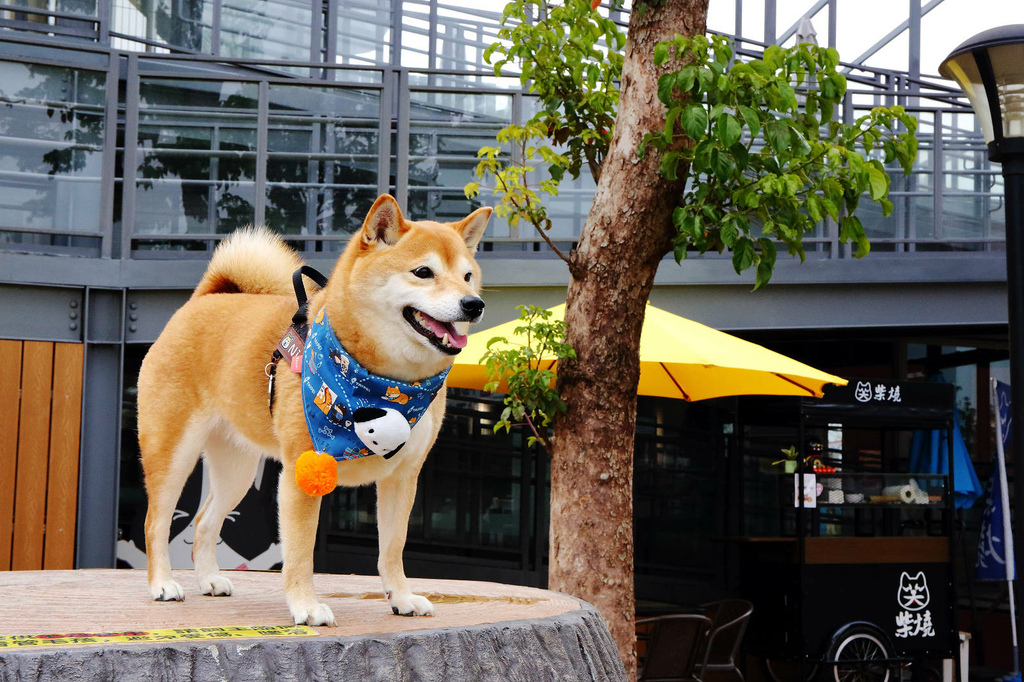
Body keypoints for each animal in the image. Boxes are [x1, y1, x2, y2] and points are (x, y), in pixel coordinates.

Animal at [138, 193, 489, 622]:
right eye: (424, 272)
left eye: (467, 276)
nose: (474, 304)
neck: (386, 383)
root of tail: (205, 298)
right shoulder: (303, 471)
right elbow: (301, 550)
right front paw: (306, 606)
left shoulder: (403, 476)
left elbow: (393, 547)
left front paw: (402, 598)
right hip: (173, 453)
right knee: (156, 520)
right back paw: (162, 584)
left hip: (237, 469)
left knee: (205, 521)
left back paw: (209, 580)